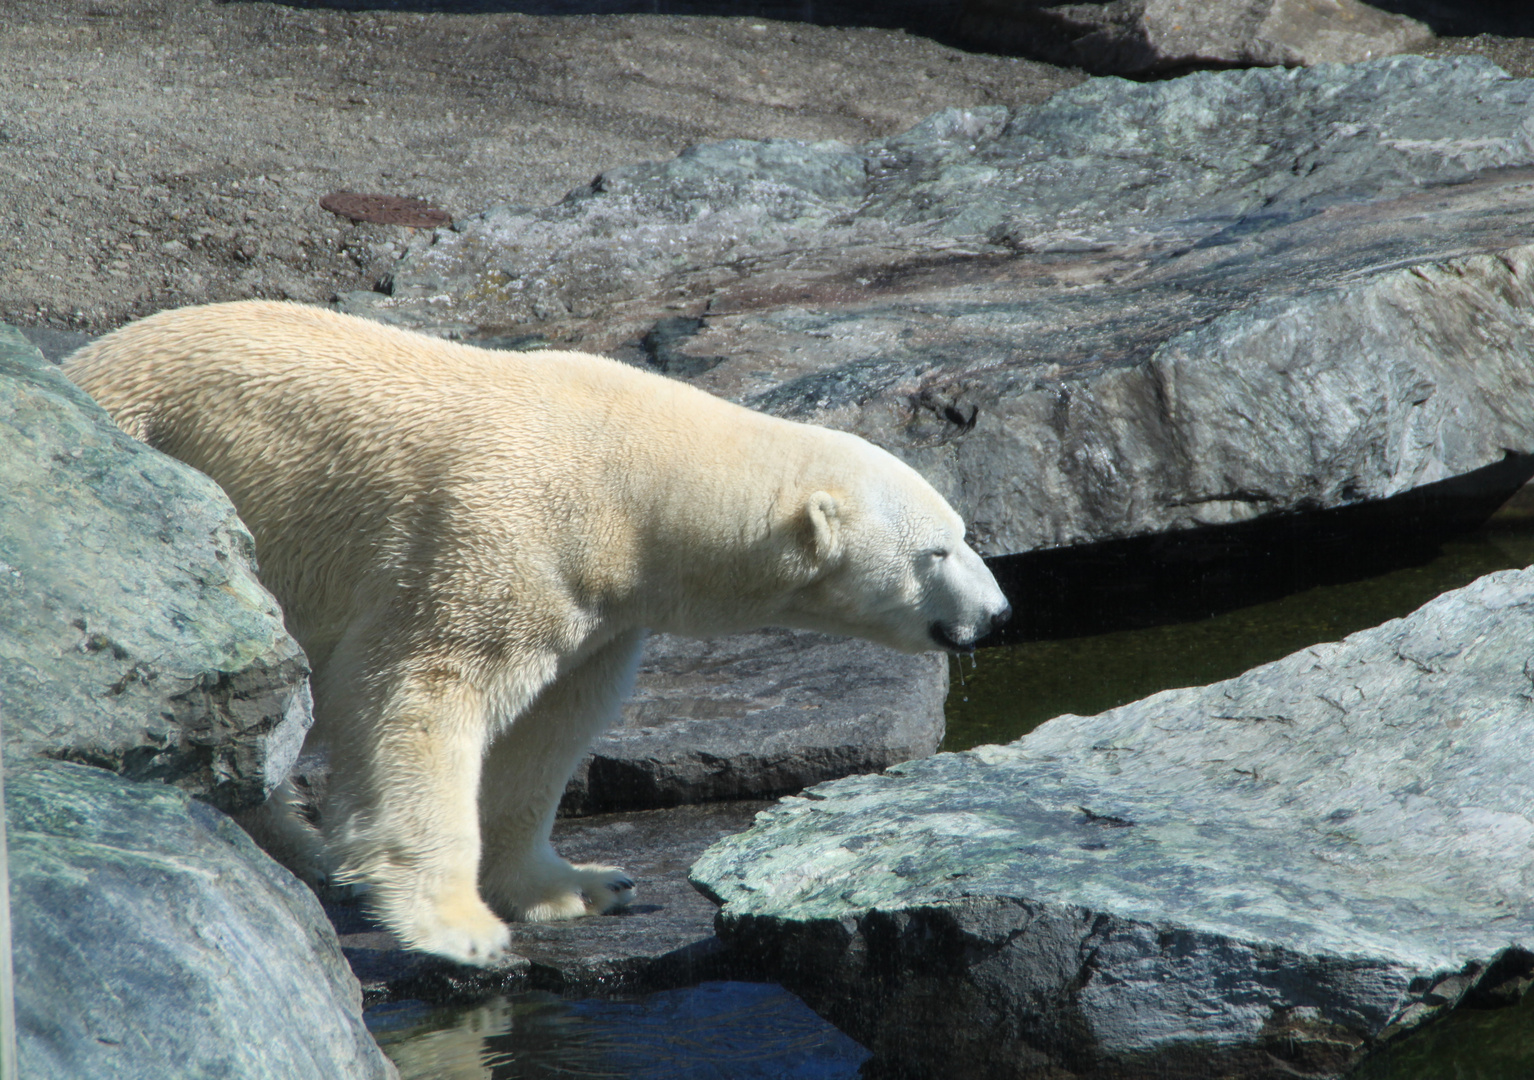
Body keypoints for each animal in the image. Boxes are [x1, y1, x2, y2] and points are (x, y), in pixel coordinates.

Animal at [65, 299, 1012, 963]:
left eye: (965, 531)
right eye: (936, 550)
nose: (998, 615)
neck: (628, 482)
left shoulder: (593, 603)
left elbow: (550, 725)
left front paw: (581, 886)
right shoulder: (492, 541)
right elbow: (415, 698)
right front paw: (458, 926)